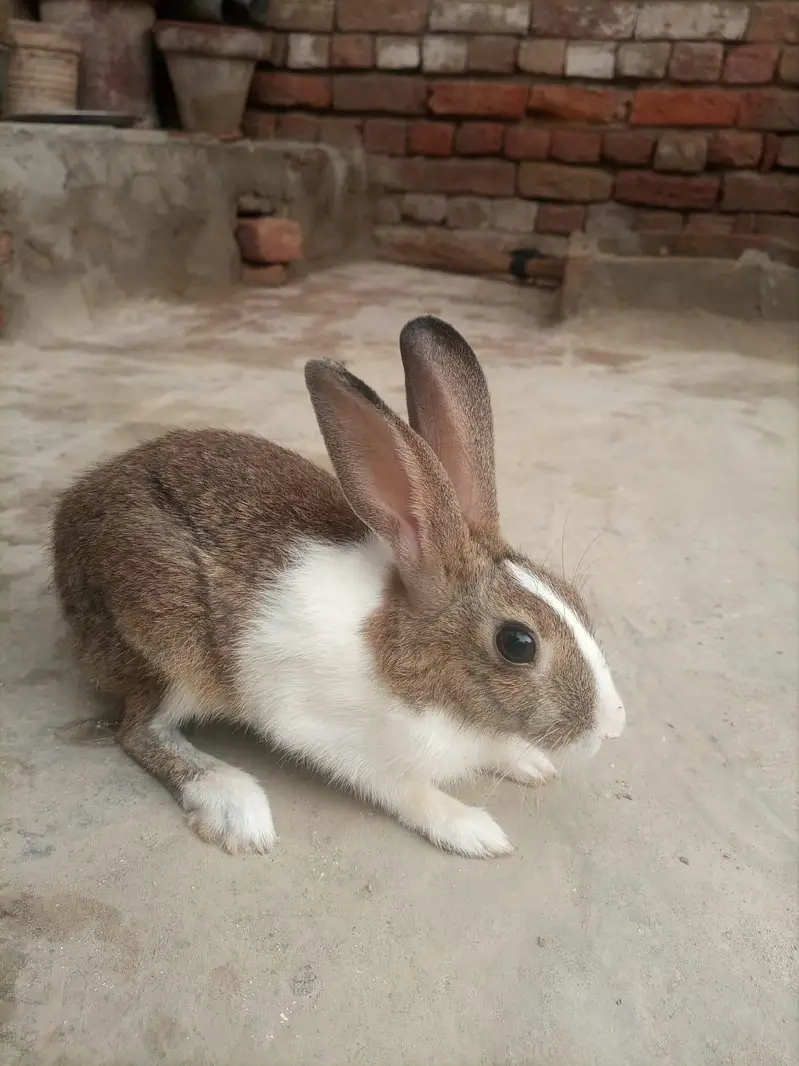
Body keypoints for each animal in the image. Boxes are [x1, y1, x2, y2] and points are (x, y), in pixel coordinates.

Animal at [51, 316, 625, 859]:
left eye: (574, 598)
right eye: (517, 643)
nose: (613, 727)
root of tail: (70, 518)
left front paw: (529, 763)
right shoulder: (344, 743)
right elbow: (405, 791)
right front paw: (473, 830)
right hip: (168, 648)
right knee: (139, 730)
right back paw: (236, 808)